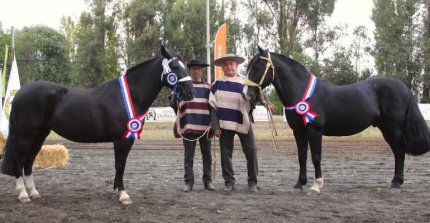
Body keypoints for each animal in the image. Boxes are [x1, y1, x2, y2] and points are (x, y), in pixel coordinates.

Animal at [0, 45, 195, 206]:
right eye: (174, 67)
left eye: (184, 66)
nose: (190, 92)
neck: (128, 95)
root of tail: (20, 93)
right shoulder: (122, 139)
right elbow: (120, 165)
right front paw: (123, 195)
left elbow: (120, 165)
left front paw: (117, 190)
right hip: (25, 135)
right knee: (19, 159)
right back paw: (23, 194)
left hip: (40, 134)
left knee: (29, 160)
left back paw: (34, 192)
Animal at [245, 47, 430, 195]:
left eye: (257, 67)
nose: (248, 94)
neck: (302, 91)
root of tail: (404, 87)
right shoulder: (298, 132)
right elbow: (302, 157)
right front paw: (299, 183)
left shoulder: (314, 131)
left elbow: (316, 157)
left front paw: (316, 186)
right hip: (387, 128)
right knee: (398, 151)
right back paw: (395, 181)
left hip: (393, 128)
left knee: (399, 151)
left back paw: (396, 182)